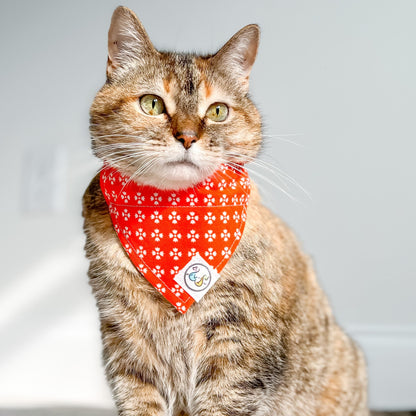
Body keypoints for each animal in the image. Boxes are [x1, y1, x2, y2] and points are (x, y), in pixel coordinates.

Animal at [82, 6, 368, 416]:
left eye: (217, 111)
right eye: (152, 103)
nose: (187, 136)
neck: (173, 221)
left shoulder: (237, 348)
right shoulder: (125, 338)